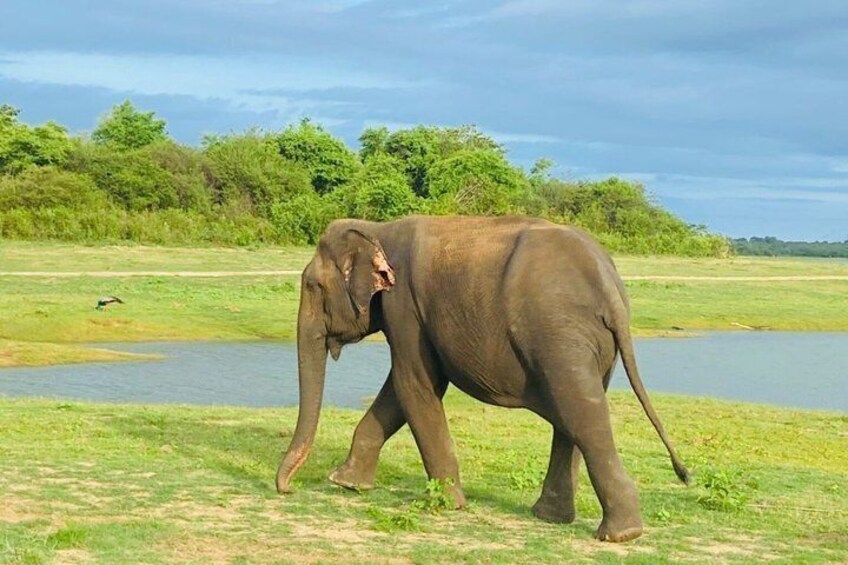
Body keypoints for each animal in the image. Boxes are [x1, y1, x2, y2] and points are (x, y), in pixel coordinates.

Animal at [276, 215, 689, 543]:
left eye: (313, 287)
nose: (287, 490)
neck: (378, 229)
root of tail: (612, 288)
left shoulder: (404, 308)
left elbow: (415, 386)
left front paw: (444, 505)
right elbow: (399, 392)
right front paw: (345, 483)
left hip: (560, 335)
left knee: (581, 415)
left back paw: (619, 535)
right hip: (588, 346)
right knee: (573, 416)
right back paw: (552, 518)